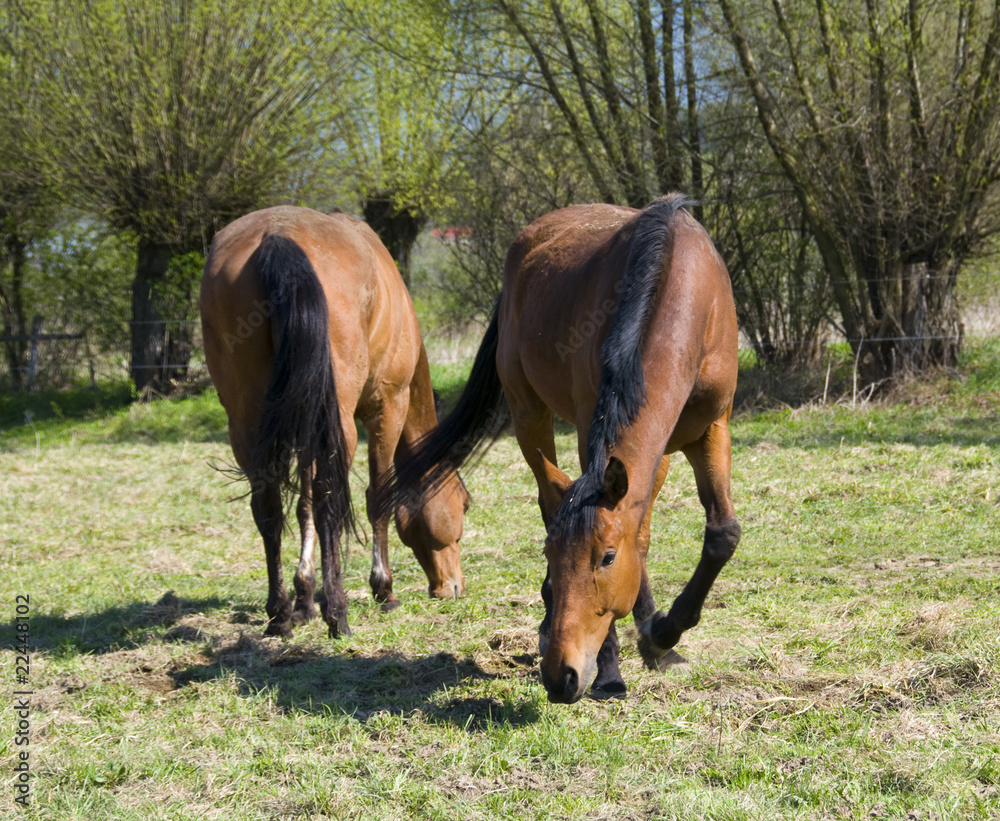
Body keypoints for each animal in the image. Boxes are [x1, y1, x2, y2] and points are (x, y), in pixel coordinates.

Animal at [200, 205, 469, 639]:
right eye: (463, 504)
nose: (452, 587)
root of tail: (276, 236)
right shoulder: (386, 407)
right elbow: (377, 498)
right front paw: (382, 590)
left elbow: (303, 507)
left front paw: (305, 599)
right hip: (338, 423)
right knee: (329, 499)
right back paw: (338, 612)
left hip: (248, 422)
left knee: (269, 507)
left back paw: (279, 614)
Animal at [383, 194, 740, 702]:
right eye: (549, 555)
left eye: (606, 558)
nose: (560, 675)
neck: (683, 287)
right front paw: (611, 670)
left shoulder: (708, 429)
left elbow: (717, 533)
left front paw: (661, 635)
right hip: (529, 414)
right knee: (547, 497)